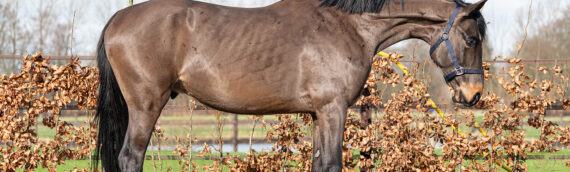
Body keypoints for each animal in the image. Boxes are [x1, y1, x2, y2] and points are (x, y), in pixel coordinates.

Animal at [95, 0, 486, 171]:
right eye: (471, 38)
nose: (474, 95)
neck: (350, 26)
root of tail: (117, 18)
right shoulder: (332, 110)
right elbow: (331, 164)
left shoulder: (318, 114)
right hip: (146, 104)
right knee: (131, 157)